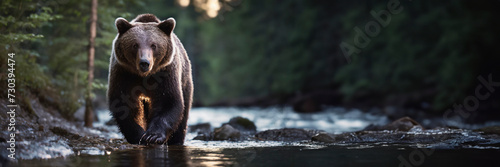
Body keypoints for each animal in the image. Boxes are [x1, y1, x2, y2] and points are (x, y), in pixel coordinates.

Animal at [108, 13, 193, 145]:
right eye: (135, 45)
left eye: (154, 45)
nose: (144, 63)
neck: (144, 76)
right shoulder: (124, 74)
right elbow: (124, 105)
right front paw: (139, 136)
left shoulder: (165, 73)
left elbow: (168, 101)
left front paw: (153, 136)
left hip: (185, 80)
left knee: (183, 114)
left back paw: (177, 140)